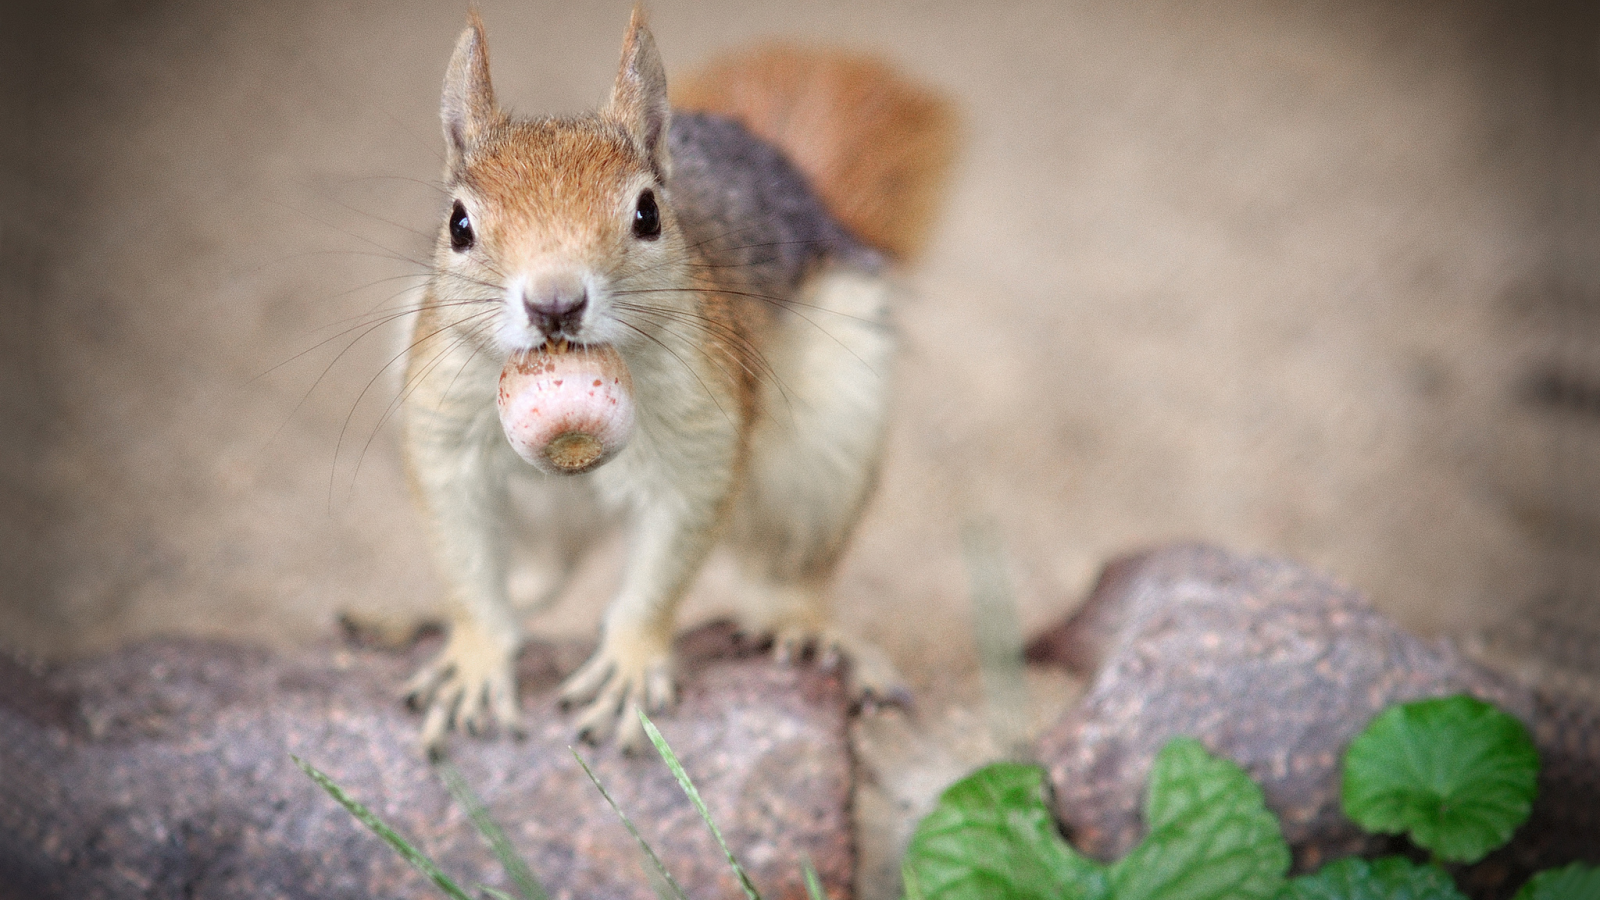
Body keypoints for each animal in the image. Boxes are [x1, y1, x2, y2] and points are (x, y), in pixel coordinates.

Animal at [400, 7, 953, 749]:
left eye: (648, 214)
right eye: (458, 224)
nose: (554, 304)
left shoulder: (703, 427)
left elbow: (670, 552)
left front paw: (630, 666)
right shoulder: (445, 425)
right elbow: (461, 550)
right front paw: (473, 659)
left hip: (827, 452)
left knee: (787, 575)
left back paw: (809, 631)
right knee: (548, 568)